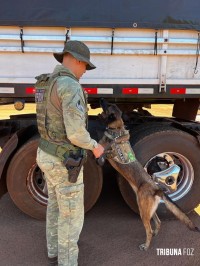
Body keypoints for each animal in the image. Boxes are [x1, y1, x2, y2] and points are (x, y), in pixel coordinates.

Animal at [98, 98, 198, 250]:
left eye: (107, 106)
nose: (102, 99)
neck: (117, 129)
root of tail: (157, 189)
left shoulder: (101, 150)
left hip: (143, 211)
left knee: (148, 230)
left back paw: (146, 245)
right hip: (149, 210)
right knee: (158, 222)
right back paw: (155, 233)